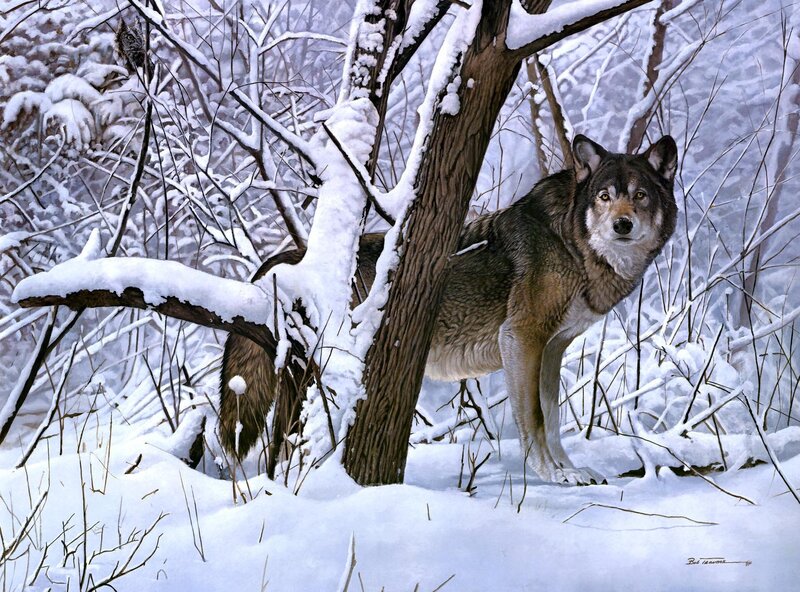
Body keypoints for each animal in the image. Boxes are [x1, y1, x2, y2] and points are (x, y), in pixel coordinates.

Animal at [219, 134, 678, 485]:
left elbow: (552, 414)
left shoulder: (551, 350)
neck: (571, 242)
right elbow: (534, 417)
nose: (622, 225)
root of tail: (289, 260)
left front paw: (572, 470)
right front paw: (553, 476)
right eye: (604, 197)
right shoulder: (522, 339)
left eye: (639, 196)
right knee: (286, 441)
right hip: (313, 378)